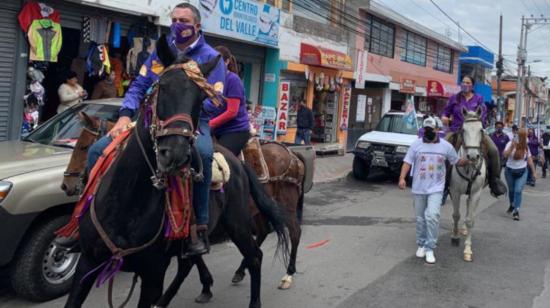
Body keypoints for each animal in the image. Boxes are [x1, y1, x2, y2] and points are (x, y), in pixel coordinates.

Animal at [63, 54, 292, 306]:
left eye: (201, 98)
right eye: (161, 88)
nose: (175, 152)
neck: (127, 203)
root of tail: (240, 164)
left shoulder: (153, 274)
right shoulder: (88, 263)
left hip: (239, 223)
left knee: (256, 256)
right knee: (191, 263)